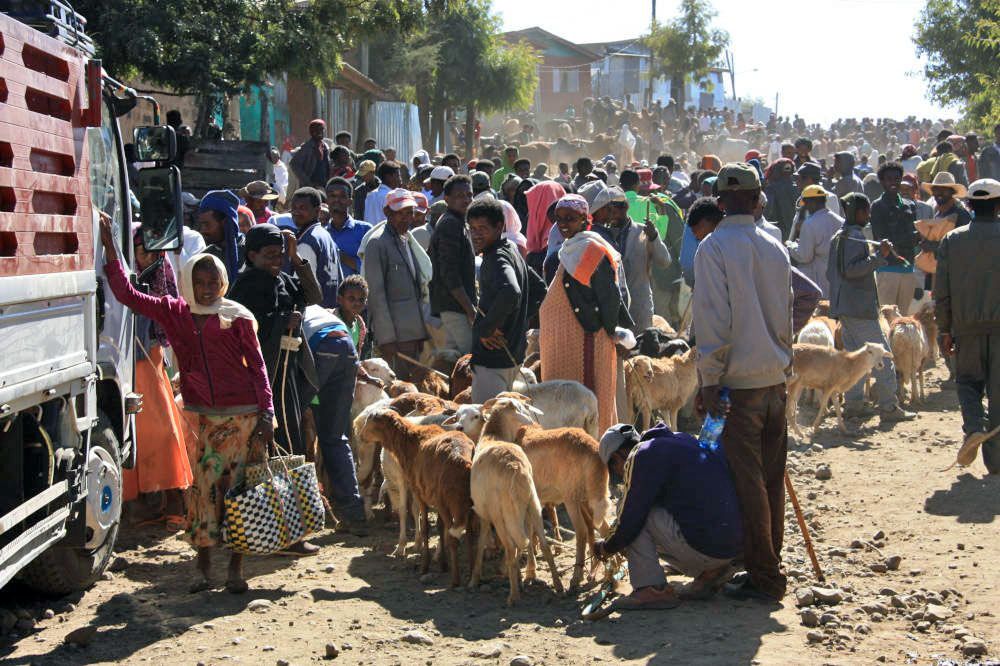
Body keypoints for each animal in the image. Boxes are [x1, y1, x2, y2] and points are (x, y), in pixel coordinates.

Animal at [356, 408, 472, 584]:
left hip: (447, 500)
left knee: (453, 533)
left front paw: (419, 559)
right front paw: (439, 560)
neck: (410, 441)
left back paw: (454, 578)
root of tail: (461, 460)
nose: (361, 436)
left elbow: (421, 523)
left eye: (372, 422)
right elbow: (433, 523)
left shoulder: (418, 489)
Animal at [468, 396, 564, 604]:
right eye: (523, 407)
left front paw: (474, 578)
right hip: (533, 505)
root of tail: (515, 468)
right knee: (543, 545)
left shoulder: (484, 514)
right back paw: (558, 586)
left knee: (511, 547)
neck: (493, 436)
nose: (533, 421)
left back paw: (513, 596)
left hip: (502, 513)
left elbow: (480, 544)